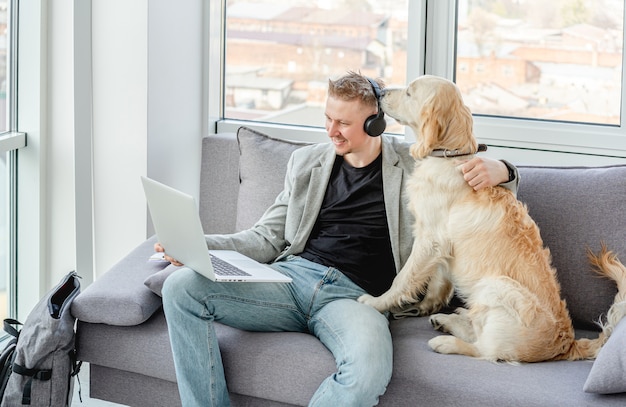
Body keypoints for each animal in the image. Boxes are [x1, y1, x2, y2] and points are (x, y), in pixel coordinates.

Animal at [356, 76, 624, 364]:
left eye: (409, 92)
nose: (381, 92)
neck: (450, 157)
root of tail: (567, 343)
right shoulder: (442, 246)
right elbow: (438, 280)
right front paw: (427, 304)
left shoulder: (430, 238)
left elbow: (403, 278)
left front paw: (377, 302)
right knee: (478, 331)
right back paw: (450, 318)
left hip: (496, 285)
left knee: (486, 351)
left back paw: (446, 341)